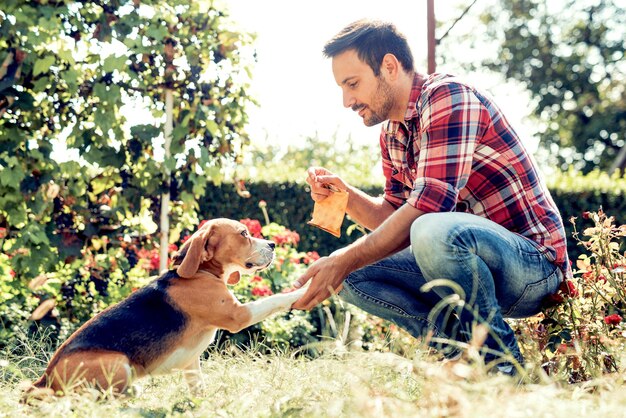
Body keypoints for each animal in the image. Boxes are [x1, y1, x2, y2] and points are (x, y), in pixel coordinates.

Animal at [23, 219, 306, 398]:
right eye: (244, 234)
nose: (272, 244)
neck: (201, 271)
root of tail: (44, 380)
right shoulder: (238, 315)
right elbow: (274, 300)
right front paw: (303, 291)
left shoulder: (192, 361)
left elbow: (197, 386)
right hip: (118, 362)